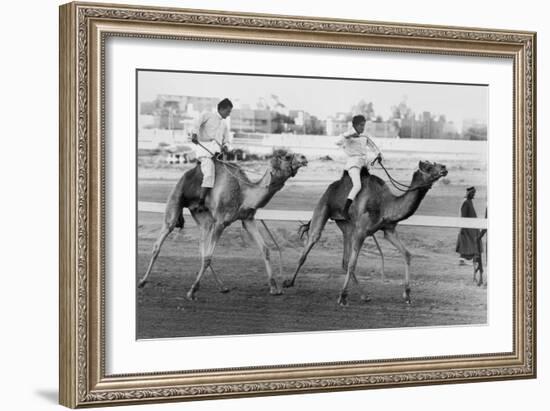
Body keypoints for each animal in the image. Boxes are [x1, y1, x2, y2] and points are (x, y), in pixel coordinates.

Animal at [139, 150, 310, 300]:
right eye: (287, 156)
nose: (304, 157)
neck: (243, 194)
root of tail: (185, 174)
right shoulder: (221, 222)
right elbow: (209, 257)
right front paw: (191, 292)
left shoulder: (247, 219)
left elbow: (265, 249)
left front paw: (274, 288)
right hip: (176, 200)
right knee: (161, 240)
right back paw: (142, 281)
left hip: (202, 215)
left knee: (202, 246)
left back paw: (222, 287)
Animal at [284, 161, 448, 306]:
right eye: (429, 167)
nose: (444, 168)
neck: (385, 205)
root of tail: (332, 186)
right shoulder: (361, 231)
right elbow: (353, 264)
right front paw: (342, 297)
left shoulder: (388, 229)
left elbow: (407, 254)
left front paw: (407, 295)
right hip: (324, 206)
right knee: (310, 244)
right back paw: (289, 282)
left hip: (347, 225)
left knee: (344, 260)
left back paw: (365, 296)